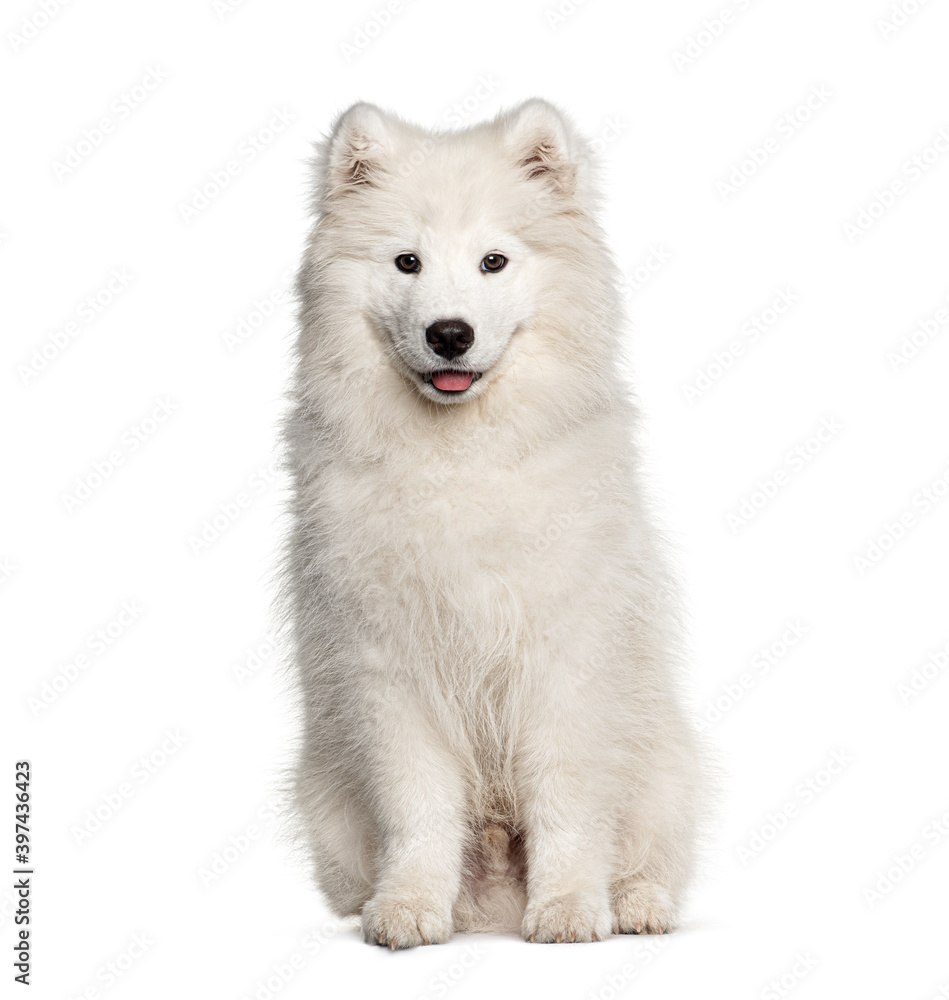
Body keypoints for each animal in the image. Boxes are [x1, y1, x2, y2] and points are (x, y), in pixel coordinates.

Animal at [286, 97, 708, 948]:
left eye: (493, 262)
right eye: (406, 262)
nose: (449, 334)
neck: (459, 458)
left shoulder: (564, 664)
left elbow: (567, 803)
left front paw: (570, 908)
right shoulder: (390, 670)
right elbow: (418, 809)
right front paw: (409, 907)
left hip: (664, 767)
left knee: (650, 854)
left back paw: (635, 906)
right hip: (327, 805)